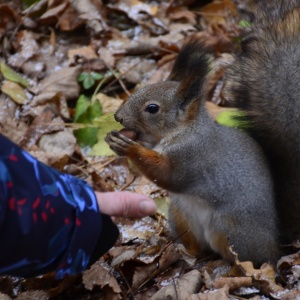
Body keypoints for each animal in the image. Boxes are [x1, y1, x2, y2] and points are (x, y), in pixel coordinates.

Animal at [105, 35, 278, 268]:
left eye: (152, 108)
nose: (118, 116)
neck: (184, 131)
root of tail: (276, 244)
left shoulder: (192, 156)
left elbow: (167, 175)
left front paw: (130, 148)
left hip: (230, 229)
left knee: (242, 258)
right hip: (180, 214)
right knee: (197, 247)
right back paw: (178, 251)